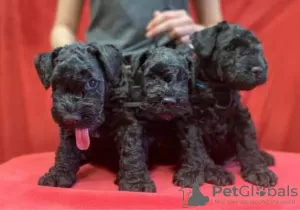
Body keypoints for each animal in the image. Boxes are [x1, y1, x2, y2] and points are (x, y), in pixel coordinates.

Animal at [33, 41, 121, 188]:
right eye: (56, 84)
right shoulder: (67, 131)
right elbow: (65, 150)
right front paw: (57, 175)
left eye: (92, 82)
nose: (71, 119)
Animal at [109, 47, 203, 192]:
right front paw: (137, 183)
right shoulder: (135, 125)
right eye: (151, 76)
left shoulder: (186, 119)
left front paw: (190, 175)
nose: (169, 102)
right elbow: (133, 151)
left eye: (183, 78)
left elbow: (191, 144)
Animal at [189, 20, 278, 186]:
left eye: (257, 49)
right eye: (230, 48)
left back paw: (264, 156)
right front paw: (214, 172)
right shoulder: (194, 124)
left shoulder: (241, 118)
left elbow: (249, 146)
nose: (258, 70)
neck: (219, 90)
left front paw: (258, 171)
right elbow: (200, 152)